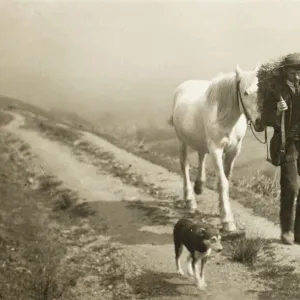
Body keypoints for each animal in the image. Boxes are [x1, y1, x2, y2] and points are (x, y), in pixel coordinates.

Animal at [169, 65, 262, 233]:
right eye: (245, 93)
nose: (259, 122)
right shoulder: (216, 149)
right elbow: (222, 182)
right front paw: (227, 221)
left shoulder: (233, 151)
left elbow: (227, 178)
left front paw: (222, 209)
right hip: (181, 140)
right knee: (184, 165)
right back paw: (190, 201)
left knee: (201, 155)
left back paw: (199, 185)